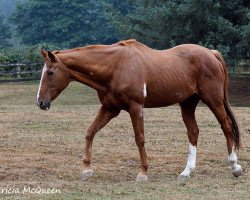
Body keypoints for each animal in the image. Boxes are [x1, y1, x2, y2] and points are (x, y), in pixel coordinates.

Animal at [37, 39, 242, 181]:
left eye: (50, 72)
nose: (40, 102)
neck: (116, 67)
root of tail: (211, 53)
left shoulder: (136, 108)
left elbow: (140, 139)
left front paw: (143, 172)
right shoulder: (110, 108)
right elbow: (90, 132)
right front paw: (86, 169)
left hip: (213, 101)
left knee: (226, 127)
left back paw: (235, 166)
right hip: (188, 104)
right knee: (193, 132)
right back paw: (186, 171)